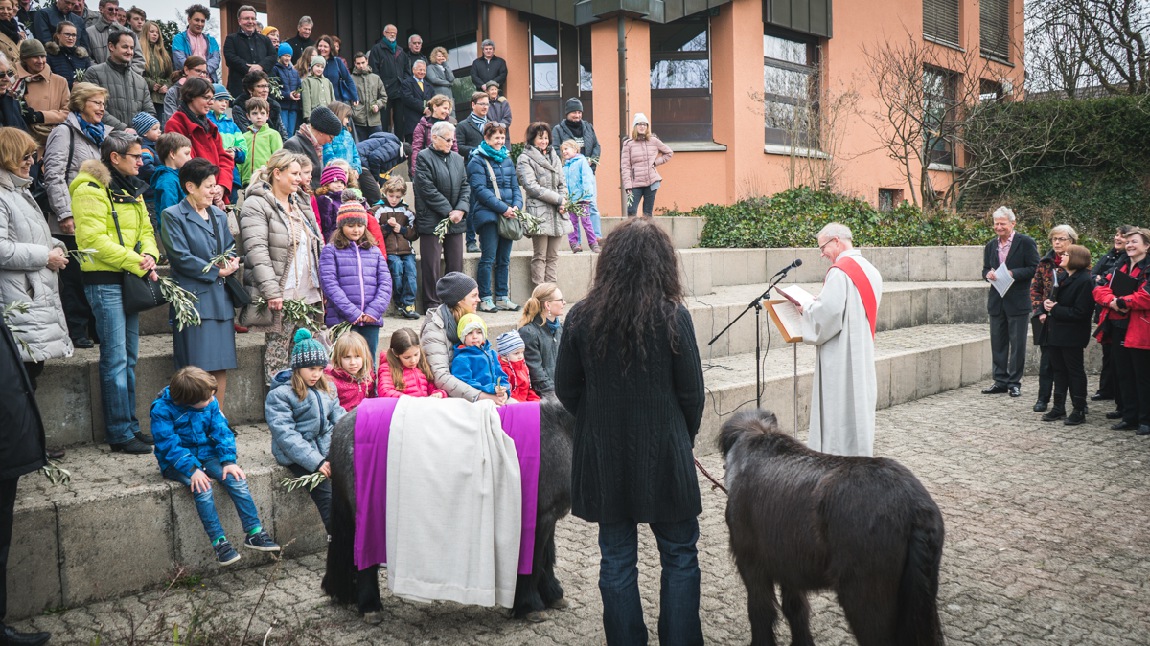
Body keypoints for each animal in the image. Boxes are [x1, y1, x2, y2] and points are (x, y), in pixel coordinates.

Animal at [319, 397, 575, 620]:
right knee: (364, 557)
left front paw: (553, 594)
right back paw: (370, 606)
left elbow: (546, 557)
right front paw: (530, 606)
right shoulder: (539, 517)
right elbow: (535, 561)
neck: (560, 430)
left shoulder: (548, 516)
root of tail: (342, 426)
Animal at [717, 409, 943, 639]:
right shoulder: (787, 566)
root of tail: (915, 507)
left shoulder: (751, 565)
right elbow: (796, 610)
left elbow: (760, 613)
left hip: (867, 603)